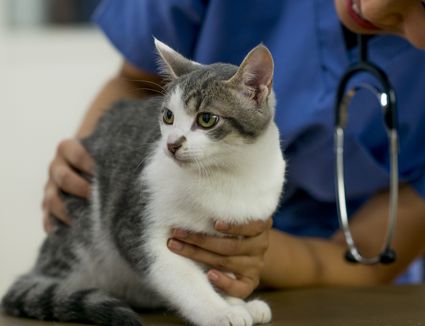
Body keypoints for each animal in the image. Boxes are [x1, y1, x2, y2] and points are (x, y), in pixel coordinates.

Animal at [1, 38, 284, 326]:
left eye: (206, 119)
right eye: (168, 116)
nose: (172, 144)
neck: (227, 173)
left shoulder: (228, 237)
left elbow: (223, 272)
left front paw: (236, 301)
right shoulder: (136, 227)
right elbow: (182, 277)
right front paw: (221, 311)